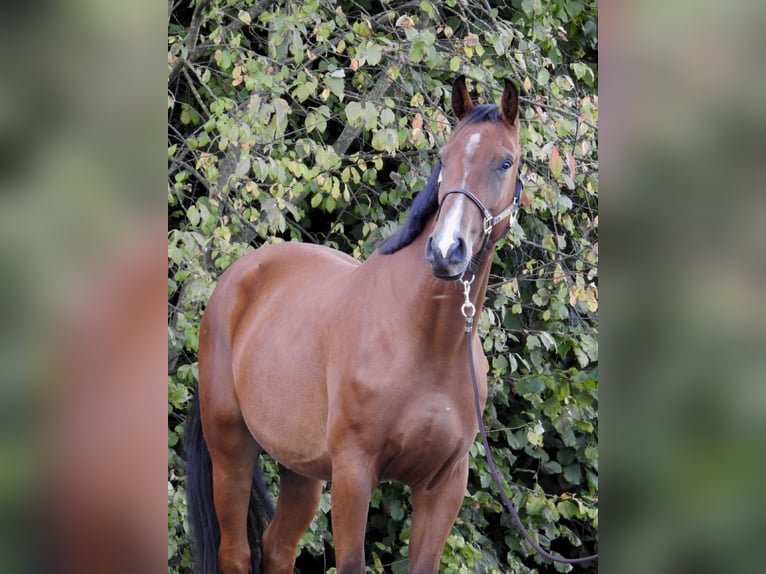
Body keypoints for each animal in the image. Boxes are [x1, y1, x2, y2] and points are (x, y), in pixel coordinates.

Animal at [185, 77, 520, 574]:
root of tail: (234, 281)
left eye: (506, 162)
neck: (427, 344)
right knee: (236, 552)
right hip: (231, 448)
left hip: (302, 469)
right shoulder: (354, 473)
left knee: (277, 547)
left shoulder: (444, 487)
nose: (447, 250)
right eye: (444, 158)